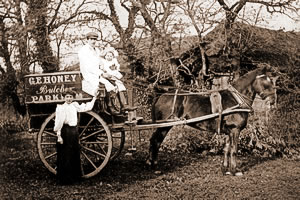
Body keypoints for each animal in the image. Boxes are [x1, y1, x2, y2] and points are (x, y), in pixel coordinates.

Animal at [146, 67, 276, 175]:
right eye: (266, 81)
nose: (273, 100)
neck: (236, 100)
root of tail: (161, 95)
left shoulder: (229, 131)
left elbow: (226, 149)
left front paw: (225, 169)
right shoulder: (235, 130)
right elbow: (234, 150)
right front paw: (235, 170)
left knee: (154, 141)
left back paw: (150, 163)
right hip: (164, 126)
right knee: (156, 141)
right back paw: (154, 166)